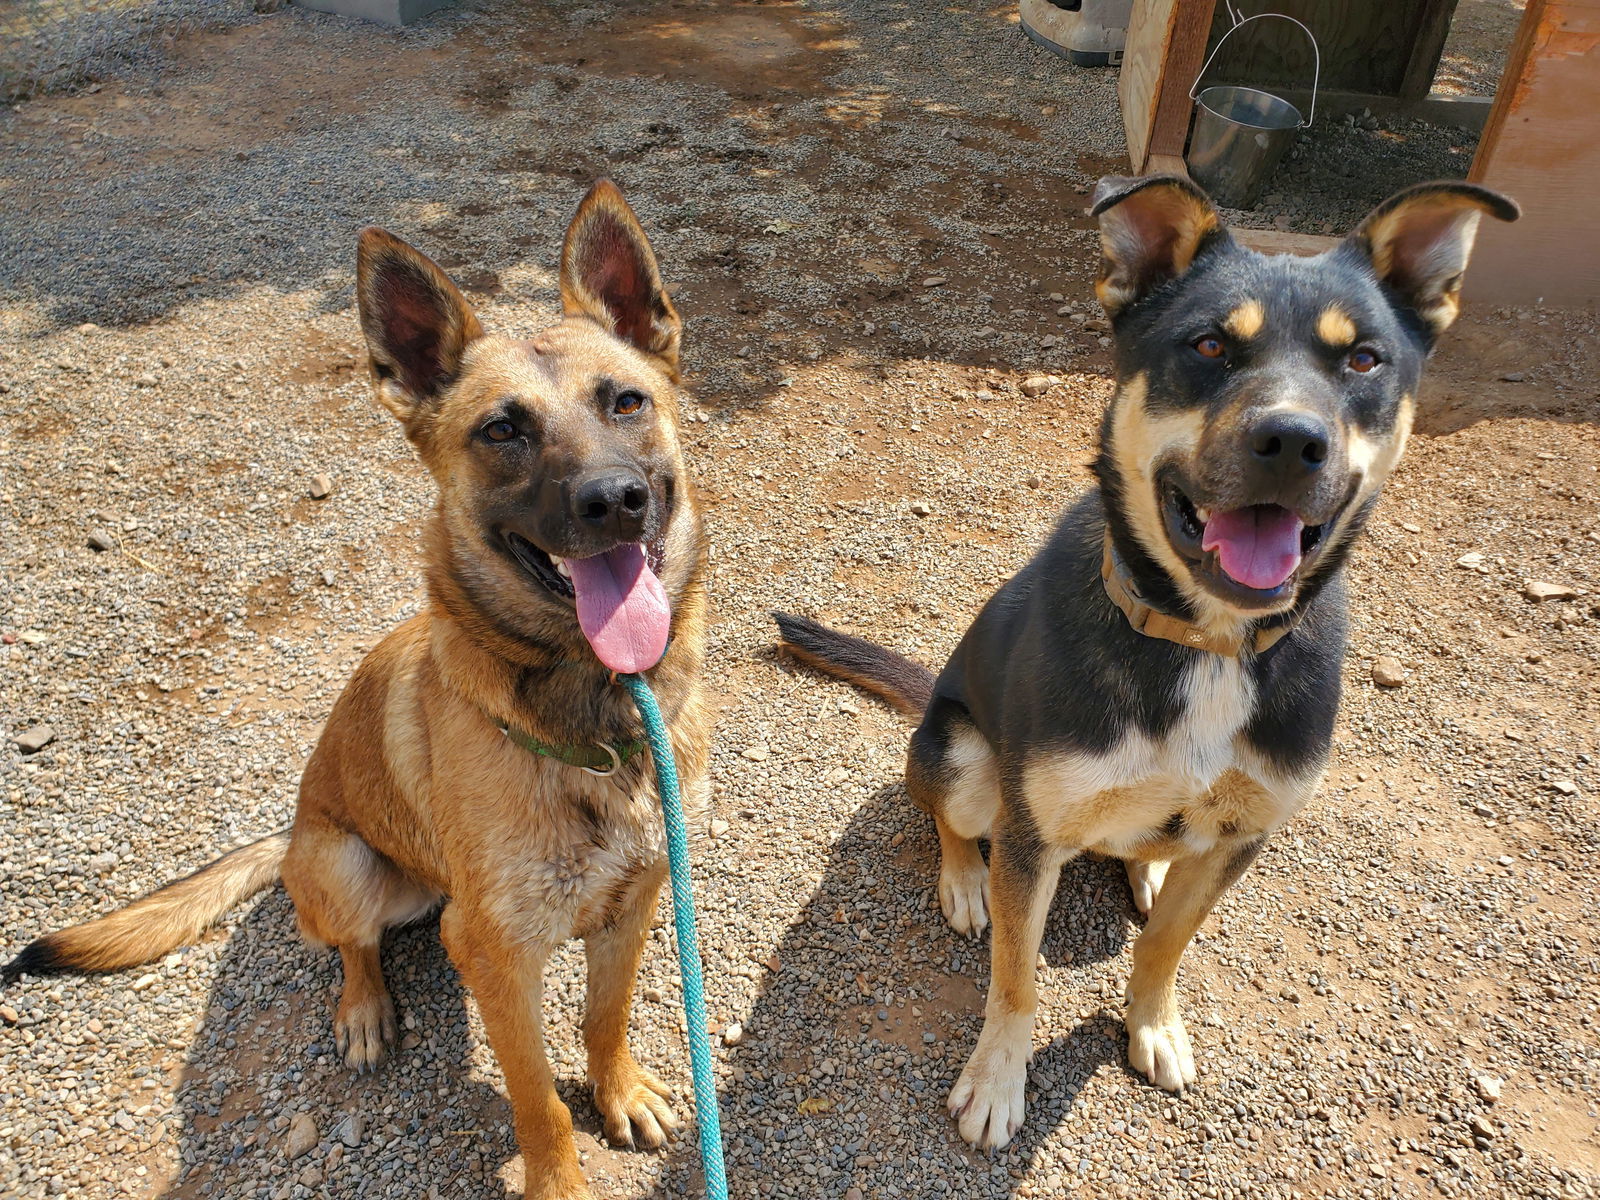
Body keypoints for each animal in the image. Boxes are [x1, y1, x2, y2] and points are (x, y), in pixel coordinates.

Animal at [4, 180, 707, 1200]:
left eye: (626, 402)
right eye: (502, 430)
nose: (615, 500)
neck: (598, 719)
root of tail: (291, 832)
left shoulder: (638, 900)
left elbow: (604, 1018)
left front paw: (616, 1090)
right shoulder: (496, 953)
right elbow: (537, 1104)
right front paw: (560, 1176)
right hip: (347, 864)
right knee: (353, 946)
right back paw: (366, 1009)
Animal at [780, 176, 1516, 1145]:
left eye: (1363, 361)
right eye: (1207, 345)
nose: (1292, 441)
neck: (1207, 642)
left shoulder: (1243, 834)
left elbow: (1168, 941)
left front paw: (1152, 1024)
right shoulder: (1031, 836)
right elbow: (1016, 974)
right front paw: (998, 1080)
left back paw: (1148, 863)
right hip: (966, 759)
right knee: (946, 814)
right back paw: (964, 882)